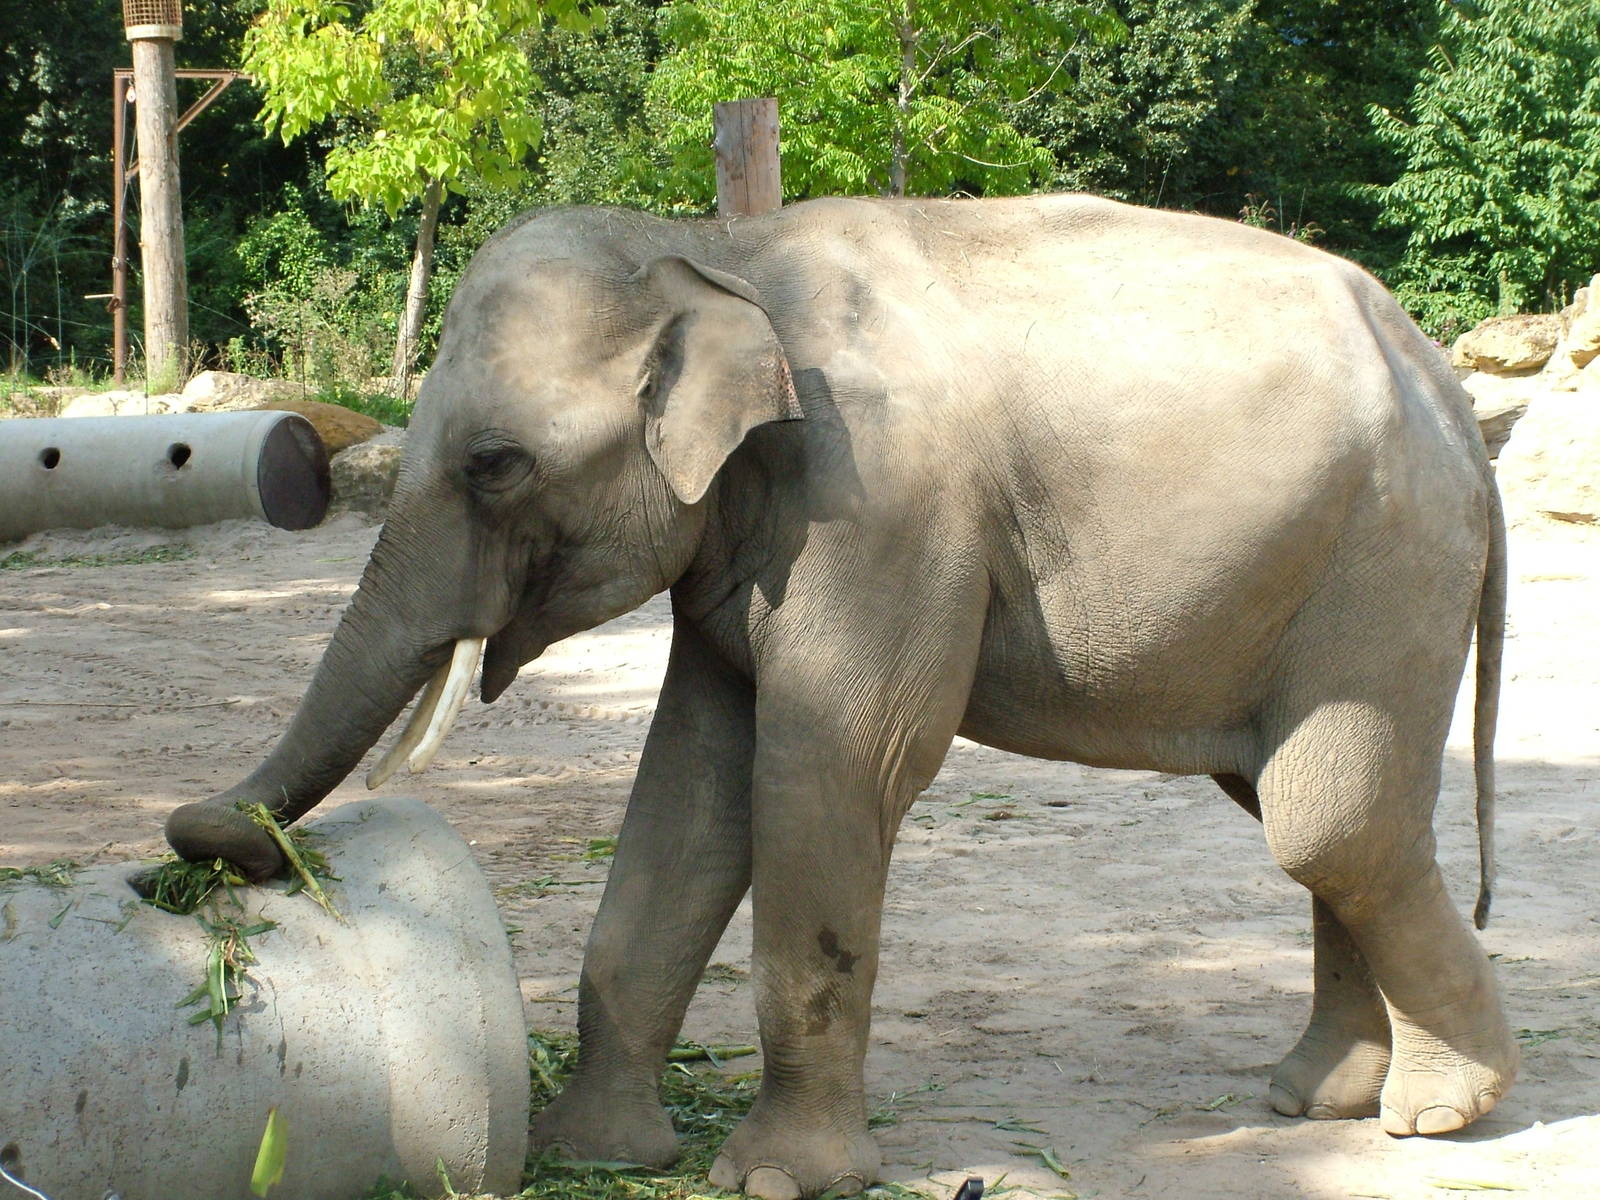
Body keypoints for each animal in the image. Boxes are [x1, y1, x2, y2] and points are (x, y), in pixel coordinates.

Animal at [166, 193, 1515, 1199]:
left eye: (494, 466)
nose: (204, 843)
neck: (716, 250)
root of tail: (1442, 379)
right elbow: (690, 795)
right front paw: (592, 1154)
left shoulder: (876, 509)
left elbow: (827, 768)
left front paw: (776, 1180)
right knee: (1314, 812)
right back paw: (1321, 1099)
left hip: (1381, 562)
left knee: (1328, 820)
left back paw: (1444, 1113)